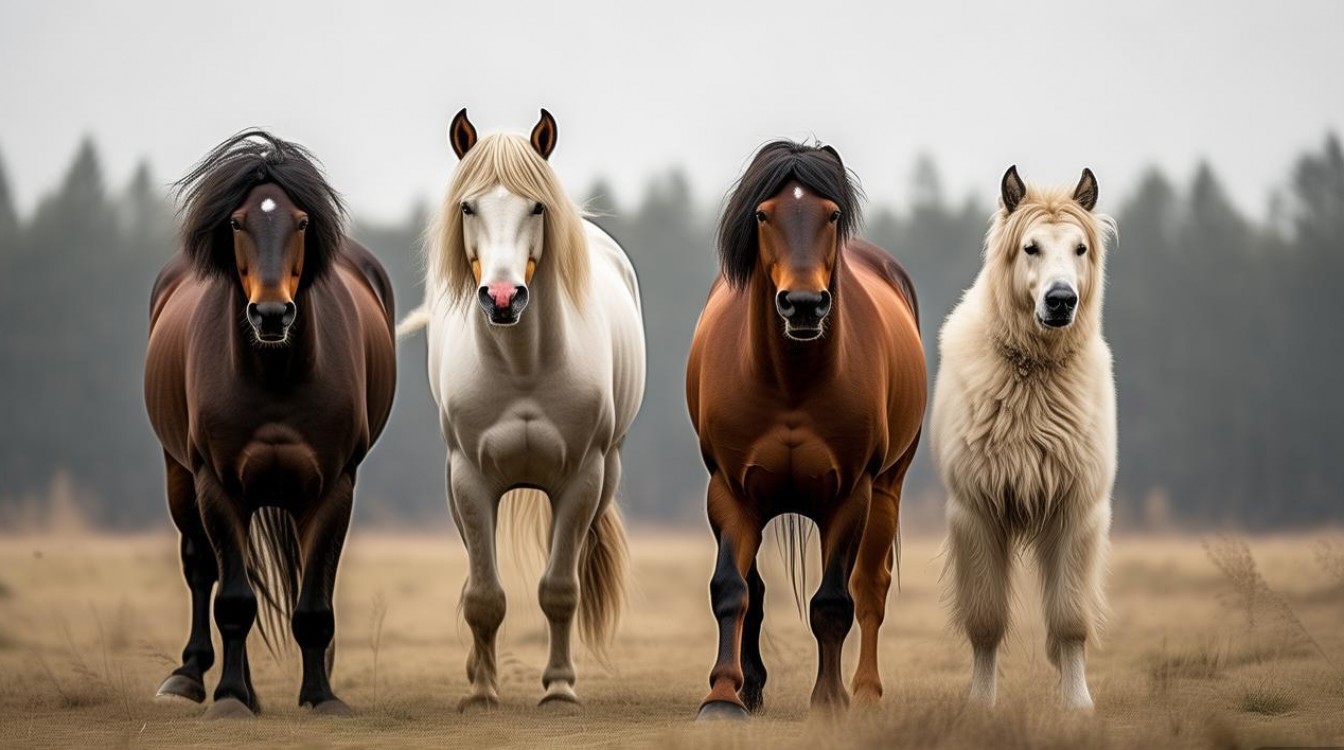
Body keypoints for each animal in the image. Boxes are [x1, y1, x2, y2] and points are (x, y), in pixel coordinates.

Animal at [144, 131, 396, 718]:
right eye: (237, 223)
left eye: (301, 222)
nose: (272, 315)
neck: (276, 374)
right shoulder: (216, 484)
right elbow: (234, 599)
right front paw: (233, 698)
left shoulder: (334, 486)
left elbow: (313, 604)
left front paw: (321, 697)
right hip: (179, 475)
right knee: (201, 569)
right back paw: (189, 676)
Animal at [397, 109, 646, 709]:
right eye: (468, 206)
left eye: (537, 206)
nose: (503, 298)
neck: (524, 367)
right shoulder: (469, 480)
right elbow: (483, 595)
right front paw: (482, 690)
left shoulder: (581, 480)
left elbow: (559, 590)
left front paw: (558, 688)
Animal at [685, 141, 927, 719]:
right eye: (762, 214)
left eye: (832, 214)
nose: (803, 305)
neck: (790, 382)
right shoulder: (729, 491)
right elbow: (732, 590)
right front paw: (723, 696)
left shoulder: (851, 493)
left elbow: (834, 602)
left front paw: (829, 700)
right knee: (755, 589)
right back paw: (751, 687)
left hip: (886, 490)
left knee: (870, 589)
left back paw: (864, 692)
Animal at [931, 166, 1116, 710]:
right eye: (1030, 247)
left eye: (1080, 247)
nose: (1060, 301)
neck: (1033, 374)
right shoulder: (977, 513)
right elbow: (986, 620)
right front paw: (981, 701)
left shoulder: (1075, 512)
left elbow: (1070, 618)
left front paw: (1077, 703)